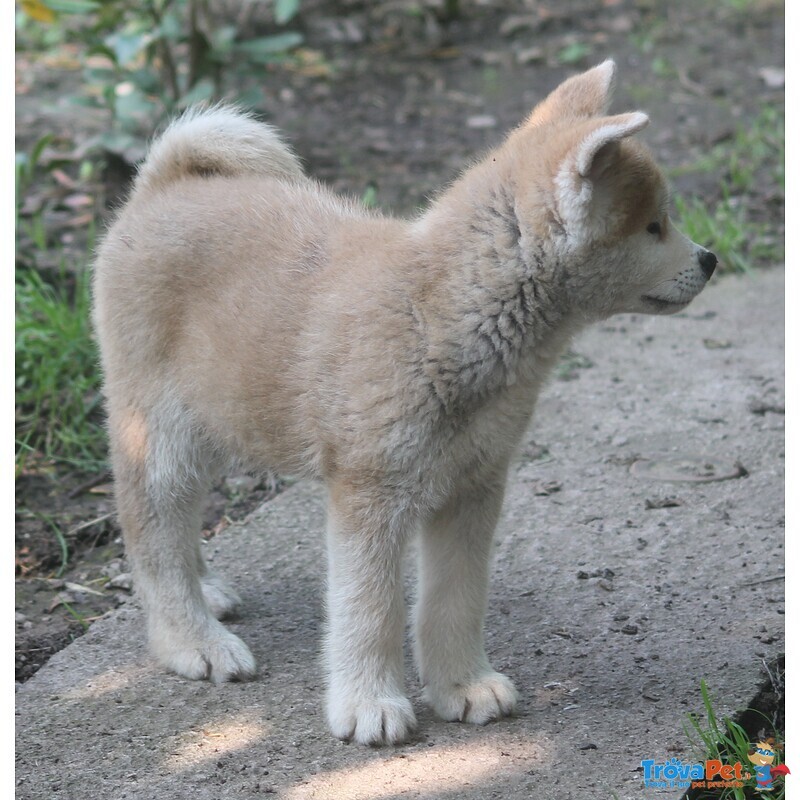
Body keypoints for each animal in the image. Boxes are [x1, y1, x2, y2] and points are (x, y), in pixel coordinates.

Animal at [94, 61, 720, 744]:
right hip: (160, 432)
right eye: (654, 225)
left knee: (179, 524)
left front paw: (462, 685)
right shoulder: (370, 494)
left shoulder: (474, 487)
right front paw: (370, 704)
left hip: (218, 418)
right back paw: (192, 640)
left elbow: (454, 600)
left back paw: (206, 591)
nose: (711, 259)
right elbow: (370, 610)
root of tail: (162, 185)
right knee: (152, 531)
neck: (439, 313)